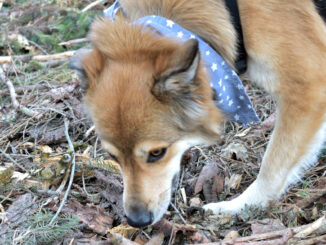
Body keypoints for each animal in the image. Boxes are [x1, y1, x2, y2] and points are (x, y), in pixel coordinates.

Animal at [70, 0, 326, 228]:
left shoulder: (308, 90)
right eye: (112, 156)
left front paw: (240, 206)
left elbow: (272, 166)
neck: (232, 10)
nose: (137, 221)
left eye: (157, 153)